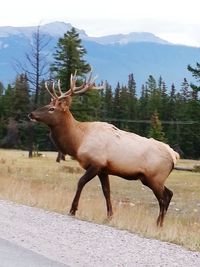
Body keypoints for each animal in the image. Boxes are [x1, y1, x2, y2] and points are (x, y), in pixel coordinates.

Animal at [28, 70, 180, 227]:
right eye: (47, 104)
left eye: (51, 109)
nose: (31, 114)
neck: (78, 141)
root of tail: (174, 156)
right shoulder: (104, 169)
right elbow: (107, 191)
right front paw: (109, 216)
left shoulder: (96, 163)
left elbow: (80, 182)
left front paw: (73, 209)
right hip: (152, 179)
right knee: (169, 193)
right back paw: (159, 223)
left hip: (154, 177)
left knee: (163, 198)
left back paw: (158, 224)